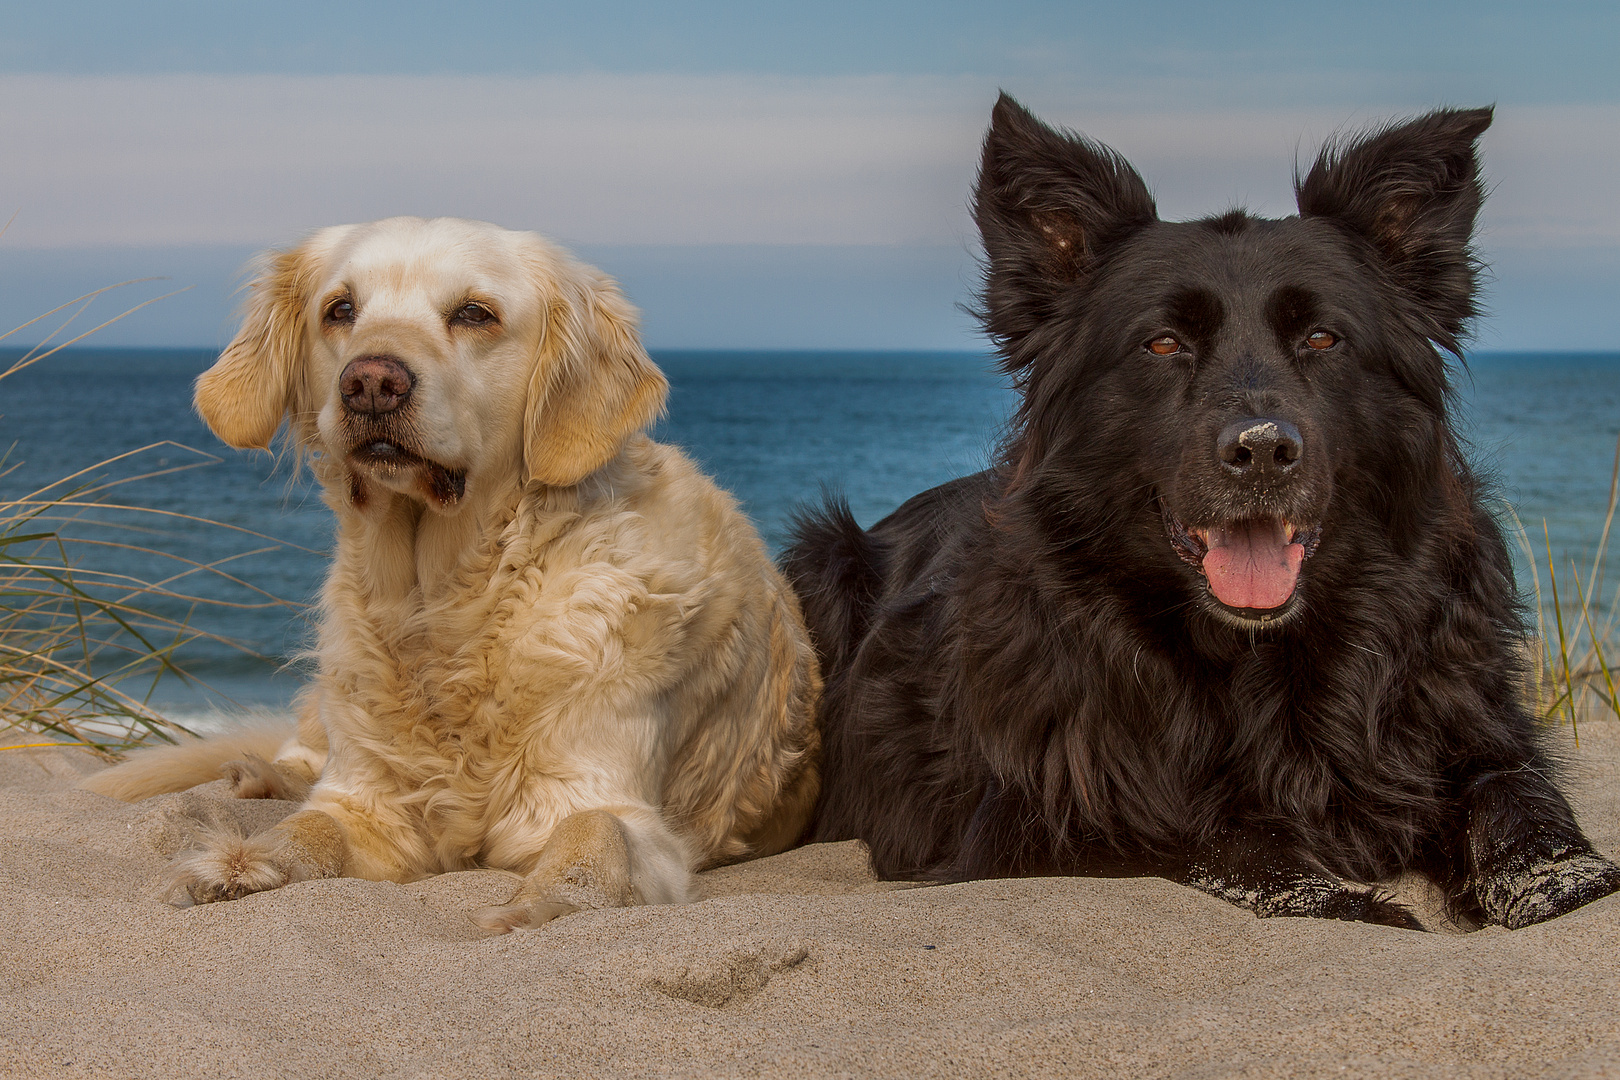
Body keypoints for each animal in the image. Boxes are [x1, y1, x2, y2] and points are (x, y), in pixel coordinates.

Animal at [790, 97, 1620, 932]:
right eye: (1163, 343)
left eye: (1322, 337)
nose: (1263, 451)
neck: (1261, 659)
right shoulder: (1052, 810)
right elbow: (1212, 835)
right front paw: (1358, 907)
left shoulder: (1473, 723)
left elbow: (1516, 794)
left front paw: (1557, 880)